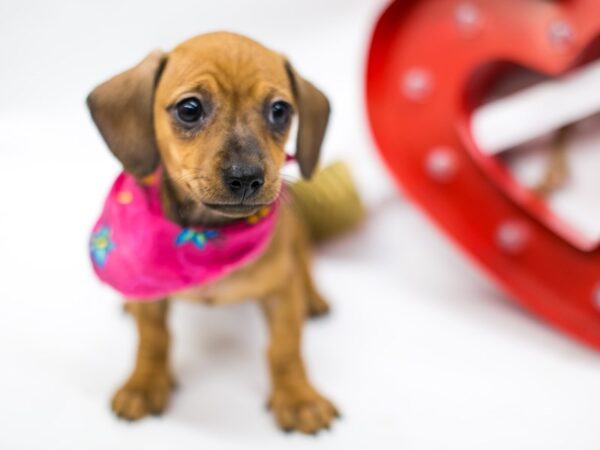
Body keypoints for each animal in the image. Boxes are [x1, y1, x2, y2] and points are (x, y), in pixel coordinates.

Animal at [86, 32, 338, 436]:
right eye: (189, 109)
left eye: (280, 110)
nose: (246, 177)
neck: (204, 237)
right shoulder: (152, 304)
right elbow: (152, 338)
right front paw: (144, 383)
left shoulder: (281, 294)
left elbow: (285, 347)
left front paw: (299, 398)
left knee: (304, 264)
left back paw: (312, 297)